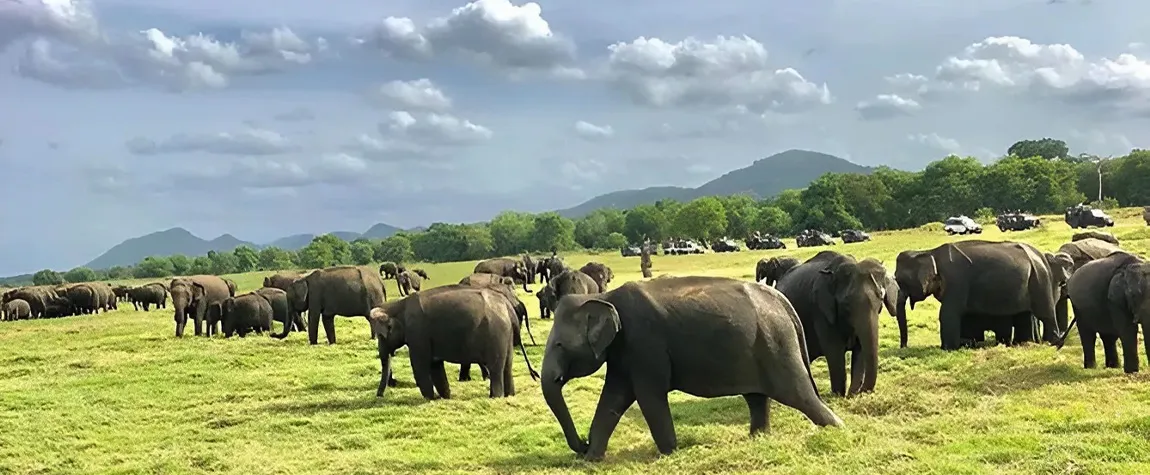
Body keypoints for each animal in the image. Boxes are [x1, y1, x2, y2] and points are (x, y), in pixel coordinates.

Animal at [368, 285, 538, 400]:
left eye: (381, 336)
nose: (379, 396)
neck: (397, 305)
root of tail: (508, 306)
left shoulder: (418, 334)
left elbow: (420, 366)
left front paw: (430, 398)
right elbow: (435, 366)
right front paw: (444, 397)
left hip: (496, 334)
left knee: (496, 368)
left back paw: (495, 397)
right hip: (506, 335)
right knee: (507, 366)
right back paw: (510, 395)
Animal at [538, 273, 846, 460]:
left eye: (559, 345)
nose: (582, 443)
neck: (605, 298)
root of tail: (782, 301)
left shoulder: (644, 344)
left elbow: (648, 396)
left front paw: (669, 453)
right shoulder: (624, 353)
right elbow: (614, 397)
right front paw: (592, 461)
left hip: (778, 345)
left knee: (798, 394)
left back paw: (839, 430)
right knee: (757, 397)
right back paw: (758, 438)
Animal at [777, 251, 892, 395]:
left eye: (881, 299)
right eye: (846, 304)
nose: (861, 391)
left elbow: (859, 349)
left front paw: (852, 394)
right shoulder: (821, 311)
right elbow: (834, 350)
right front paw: (839, 395)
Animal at [892, 240, 1062, 347]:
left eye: (899, 280)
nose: (904, 347)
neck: (930, 252)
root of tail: (1041, 256)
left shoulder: (957, 281)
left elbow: (947, 313)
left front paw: (947, 348)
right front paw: (964, 344)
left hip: (1040, 280)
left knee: (1046, 314)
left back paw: (1053, 342)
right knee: (1025, 314)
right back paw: (1024, 343)